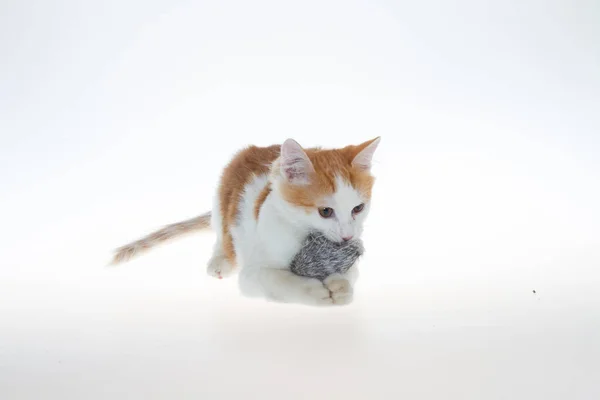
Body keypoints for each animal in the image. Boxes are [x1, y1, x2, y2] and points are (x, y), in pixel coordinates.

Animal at [112, 138, 380, 306]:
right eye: (325, 211)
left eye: (358, 208)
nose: (347, 236)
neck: (302, 234)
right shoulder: (251, 275)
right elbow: (274, 278)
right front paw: (313, 291)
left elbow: (351, 272)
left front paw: (341, 286)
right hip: (222, 199)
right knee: (222, 233)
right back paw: (221, 260)